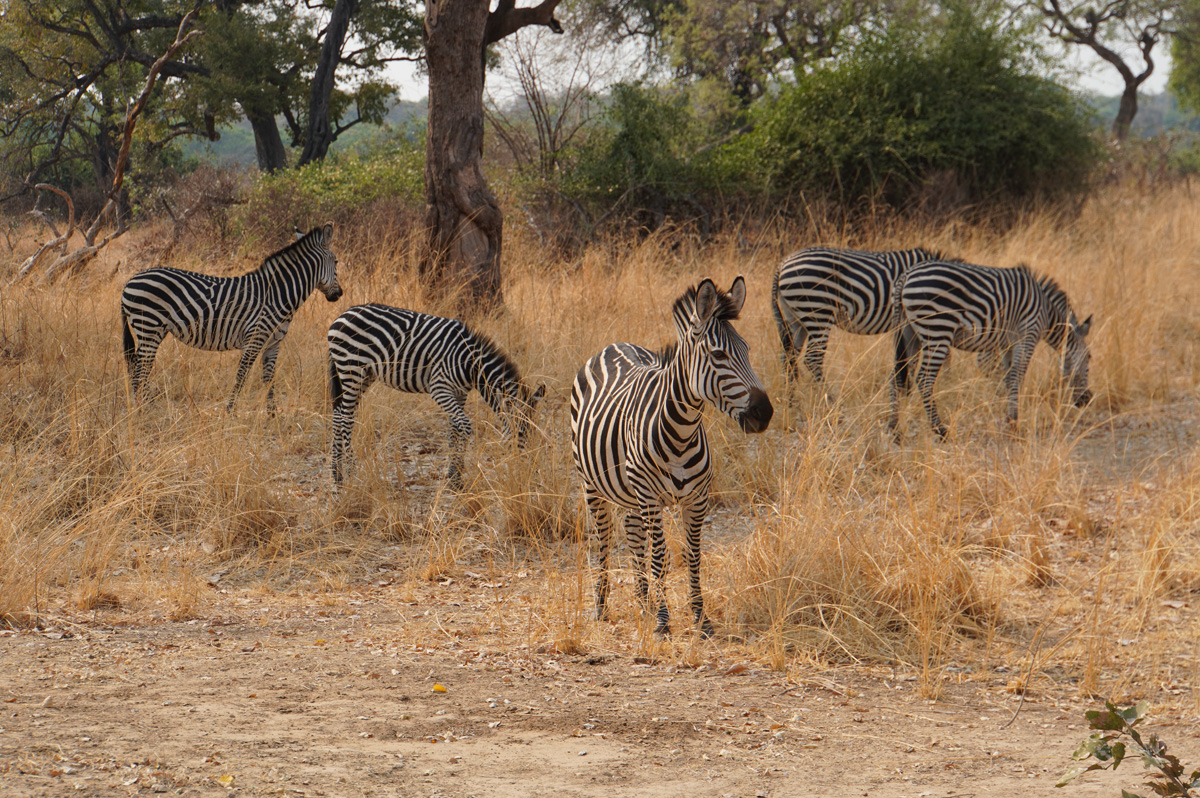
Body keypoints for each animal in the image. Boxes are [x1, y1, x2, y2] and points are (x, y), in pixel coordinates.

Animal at [120, 222, 342, 414]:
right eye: (336, 262)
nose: (339, 294)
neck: (277, 295)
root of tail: (129, 281)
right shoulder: (254, 338)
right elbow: (242, 375)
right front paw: (230, 411)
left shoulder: (273, 344)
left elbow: (269, 378)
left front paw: (272, 415)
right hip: (148, 326)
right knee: (139, 369)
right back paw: (143, 409)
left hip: (153, 330)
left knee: (139, 367)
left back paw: (145, 406)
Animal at [327, 304, 546, 490]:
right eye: (522, 433)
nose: (529, 473)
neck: (470, 365)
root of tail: (342, 314)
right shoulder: (440, 389)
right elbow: (464, 426)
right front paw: (457, 478)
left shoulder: (459, 393)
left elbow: (454, 431)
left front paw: (453, 476)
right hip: (351, 369)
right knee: (346, 419)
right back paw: (351, 472)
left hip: (362, 375)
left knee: (338, 415)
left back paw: (337, 475)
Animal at [570, 276, 773, 637]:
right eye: (718, 354)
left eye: (748, 350)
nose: (764, 413)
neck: (681, 431)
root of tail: (613, 344)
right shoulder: (650, 497)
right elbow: (660, 557)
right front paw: (664, 621)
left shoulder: (698, 498)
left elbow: (692, 555)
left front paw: (700, 619)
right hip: (592, 484)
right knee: (604, 539)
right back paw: (602, 606)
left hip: (630, 493)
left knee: (633, 534)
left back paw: (644, 603)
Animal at [771, 246, 939, 399]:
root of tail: (782, 264)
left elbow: (909, 359)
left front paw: (905, 395)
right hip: (816, 312)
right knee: (812, 359)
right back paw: (832, 402)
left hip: (794, 319)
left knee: (788, 357)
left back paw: (792, 402)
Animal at [892, 259, 1093, 438]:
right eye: (1089, 357)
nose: (1087, 400)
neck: (1046, 311)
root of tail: (906, 275)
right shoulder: (1027, 336)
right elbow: (1016, 377)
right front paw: (1014, 421)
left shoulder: (1008, 345)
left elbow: (1007, 378)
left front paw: (1008, 417)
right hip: (937, 329)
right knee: (924, 380)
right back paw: (940, 430)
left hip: (909, 332)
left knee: (897, 376)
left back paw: (894, 429)